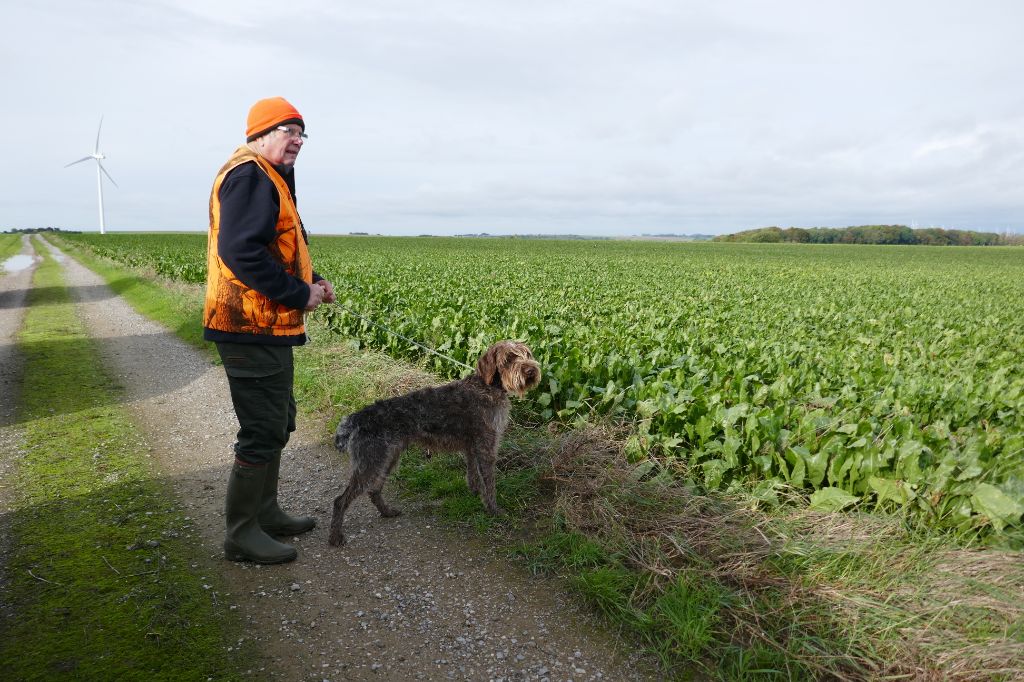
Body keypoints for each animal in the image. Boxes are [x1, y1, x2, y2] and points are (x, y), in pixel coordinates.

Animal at [327, 339, 540, 548]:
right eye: (509, 358)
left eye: (527, 354)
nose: (531, 371)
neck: (489, 387)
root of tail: (356, 418)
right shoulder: (486, 446)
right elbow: (489, 484)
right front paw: (493, 509)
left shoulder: (472, 446)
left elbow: (473, 474)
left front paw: (475, 492)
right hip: (371, 463)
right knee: (340, 500)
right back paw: (336, 537)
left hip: (387, 457)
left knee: (374, 490)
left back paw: (387, 512)